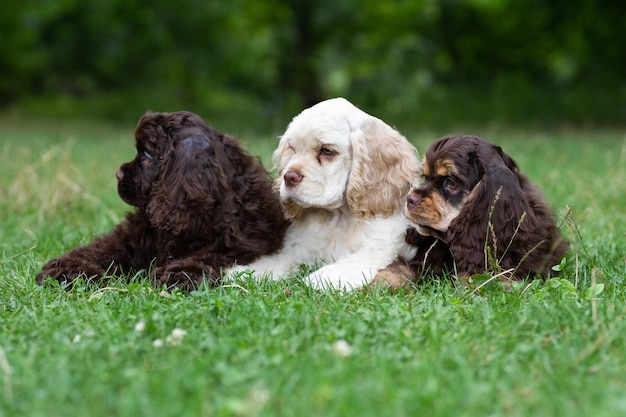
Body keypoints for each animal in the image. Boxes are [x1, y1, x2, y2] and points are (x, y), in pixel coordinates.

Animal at [39, 109, 290, 288]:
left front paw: (177, 275)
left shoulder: (241, 244)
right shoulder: (134, 235)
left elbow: (207, 256)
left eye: (147, 156)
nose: (118, 174)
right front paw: (68, 268)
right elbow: (103, 248)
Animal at [229, 96, 420, 290]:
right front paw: (244, 272)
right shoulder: (297, 250)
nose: (288, 177)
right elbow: (278, 262)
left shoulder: (374, 250)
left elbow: (338, 269)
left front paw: (314, 281)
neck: (335, 217)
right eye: (292, 149)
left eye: (327, 151)